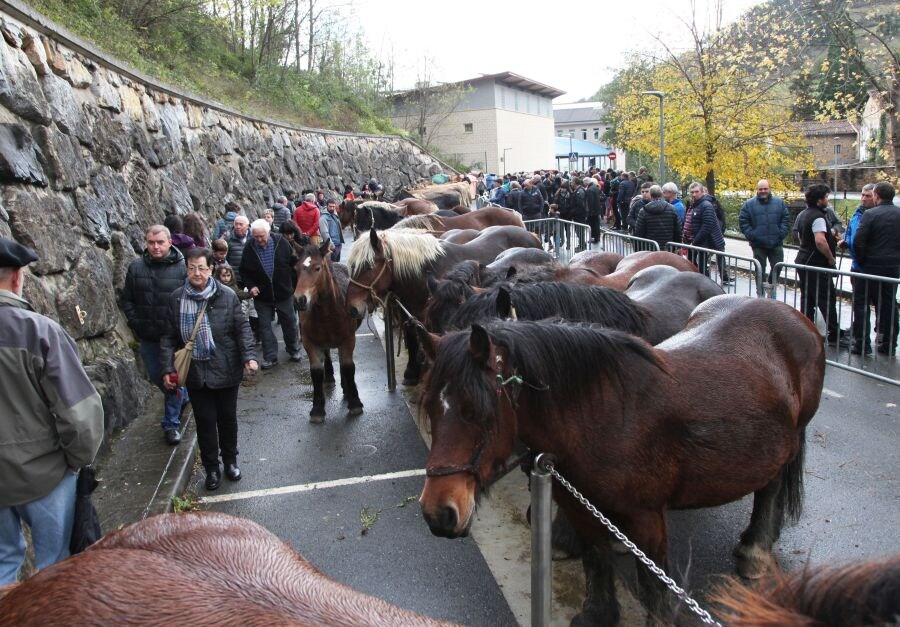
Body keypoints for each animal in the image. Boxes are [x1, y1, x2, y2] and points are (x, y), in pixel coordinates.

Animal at [292, 240, 362, 422]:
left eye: (317, 268)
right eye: (296, 268)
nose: (299, 300)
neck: (327, 312)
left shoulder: (348, 339)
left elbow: (348, 367)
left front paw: (355, 403)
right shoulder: (309, 342)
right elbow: (316, 371)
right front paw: (317, 409)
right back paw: (330, 377)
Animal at [346, 223, 540, 386]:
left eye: (368, 266)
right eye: (352, 266)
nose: (352, 308)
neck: (422, 276)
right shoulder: (408, 313)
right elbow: (412, 336)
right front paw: (412, 372)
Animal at [414, 296, 824, 624]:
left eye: (477, 411)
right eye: (431, 406)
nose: (438, 513)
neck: (606, 417)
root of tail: (793, 315)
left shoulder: (648, 520)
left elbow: (654, 588)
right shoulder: (580, 506)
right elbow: (595, 559)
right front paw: (598, 615)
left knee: (770, 489)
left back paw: (755, 551)